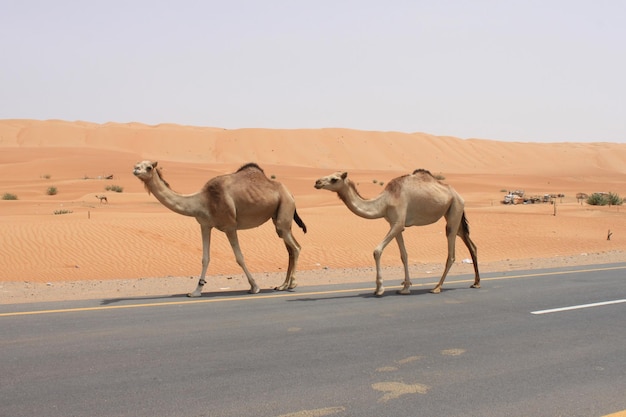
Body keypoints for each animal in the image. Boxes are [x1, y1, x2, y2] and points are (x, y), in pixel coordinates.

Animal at [133, 161, 306, 298]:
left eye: (148, 167)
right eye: (138, 164)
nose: (135, 169)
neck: (203, 200)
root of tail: (290, 193)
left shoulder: (230, 226)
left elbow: (239, 257)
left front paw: (254, 287)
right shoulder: (205, 225)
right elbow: (205, 258)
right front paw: (196, 291)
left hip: (284, 209)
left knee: (296, 247)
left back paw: (292, 284)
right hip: (279, 219)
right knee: (290, 249)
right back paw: (283, 285)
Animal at [312, 169, 478, 296]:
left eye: (334, 179)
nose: (317, 182)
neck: (384, 201)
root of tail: (458, 195)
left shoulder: (398, 223)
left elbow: (377, 251)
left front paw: (379, 289)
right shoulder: (395, 225)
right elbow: (404, 255)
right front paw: (405, 287)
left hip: (454, 210)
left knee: (451, 253)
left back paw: (437, 287)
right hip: (455, 214)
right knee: (471, 245)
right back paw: (476, 283)